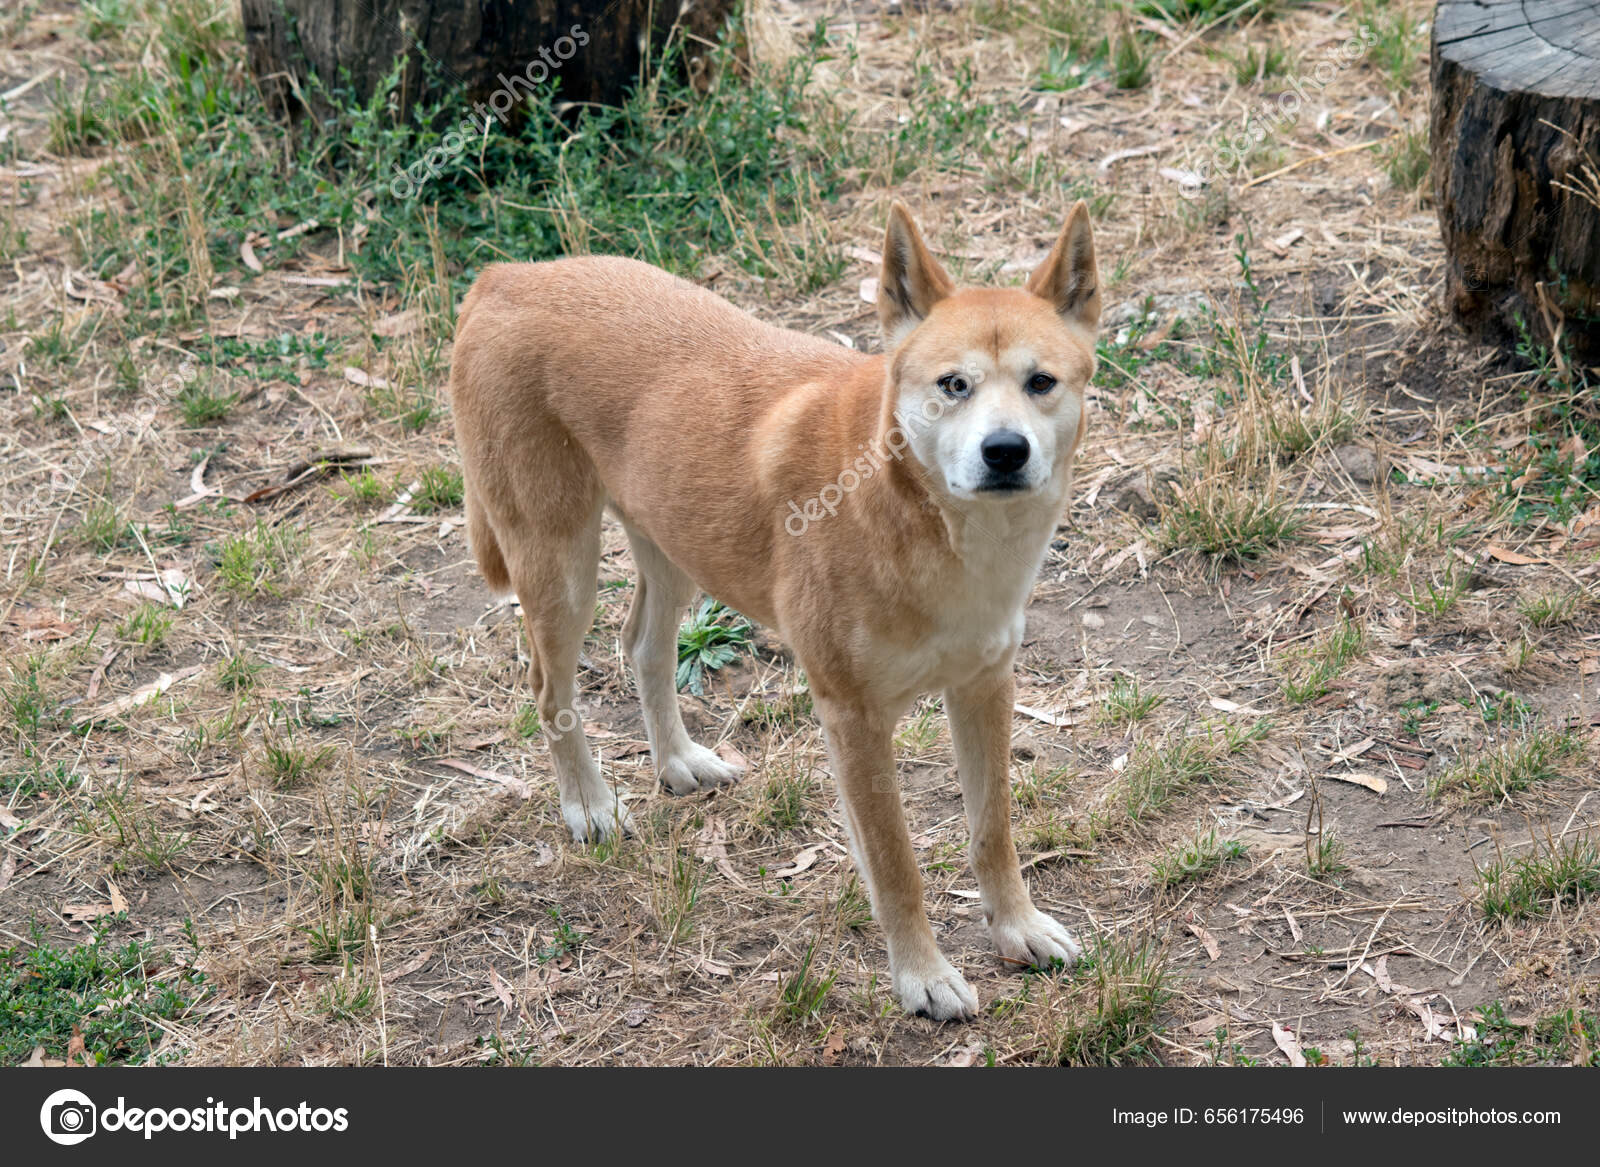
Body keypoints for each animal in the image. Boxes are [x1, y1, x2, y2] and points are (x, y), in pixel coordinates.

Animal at [451, 202, 1100, 1018]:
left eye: (1041, 382)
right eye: (953, 385)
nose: (1005, 450)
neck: (921, 518)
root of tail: (503, 277)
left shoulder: (984, 687)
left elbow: (993, 832)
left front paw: (1017, 928)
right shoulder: (853, 717)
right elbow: (897, 865)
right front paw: (921, 976)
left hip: (676, 544)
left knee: (643, 647)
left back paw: (678, 761)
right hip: (560, 566)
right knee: (549, 688)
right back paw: (589, 805)